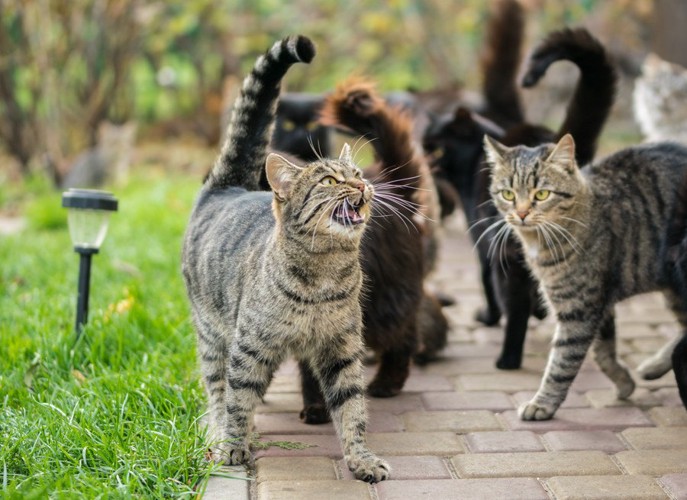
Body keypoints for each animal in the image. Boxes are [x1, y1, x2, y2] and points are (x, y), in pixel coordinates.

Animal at [180, 35, 390, 480]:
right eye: (329, 180)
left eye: (358, 173)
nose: (361, 185)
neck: (325, 273)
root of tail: (227, 186)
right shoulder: (250, 347)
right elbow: (238, 399)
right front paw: (232, 447)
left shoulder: (342, 348)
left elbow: (352, 408)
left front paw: (360, 458)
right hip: (213, 334)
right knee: (218, 388)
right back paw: (222, 431)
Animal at [484, 132, 687, 418]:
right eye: (508, 194)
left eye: (542, 194)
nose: (521, 213)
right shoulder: (600, 302)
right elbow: (603, 351)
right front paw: (623, 382)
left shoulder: (579, 309)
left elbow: (562, 362)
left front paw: (542, 404)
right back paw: (654, 366)